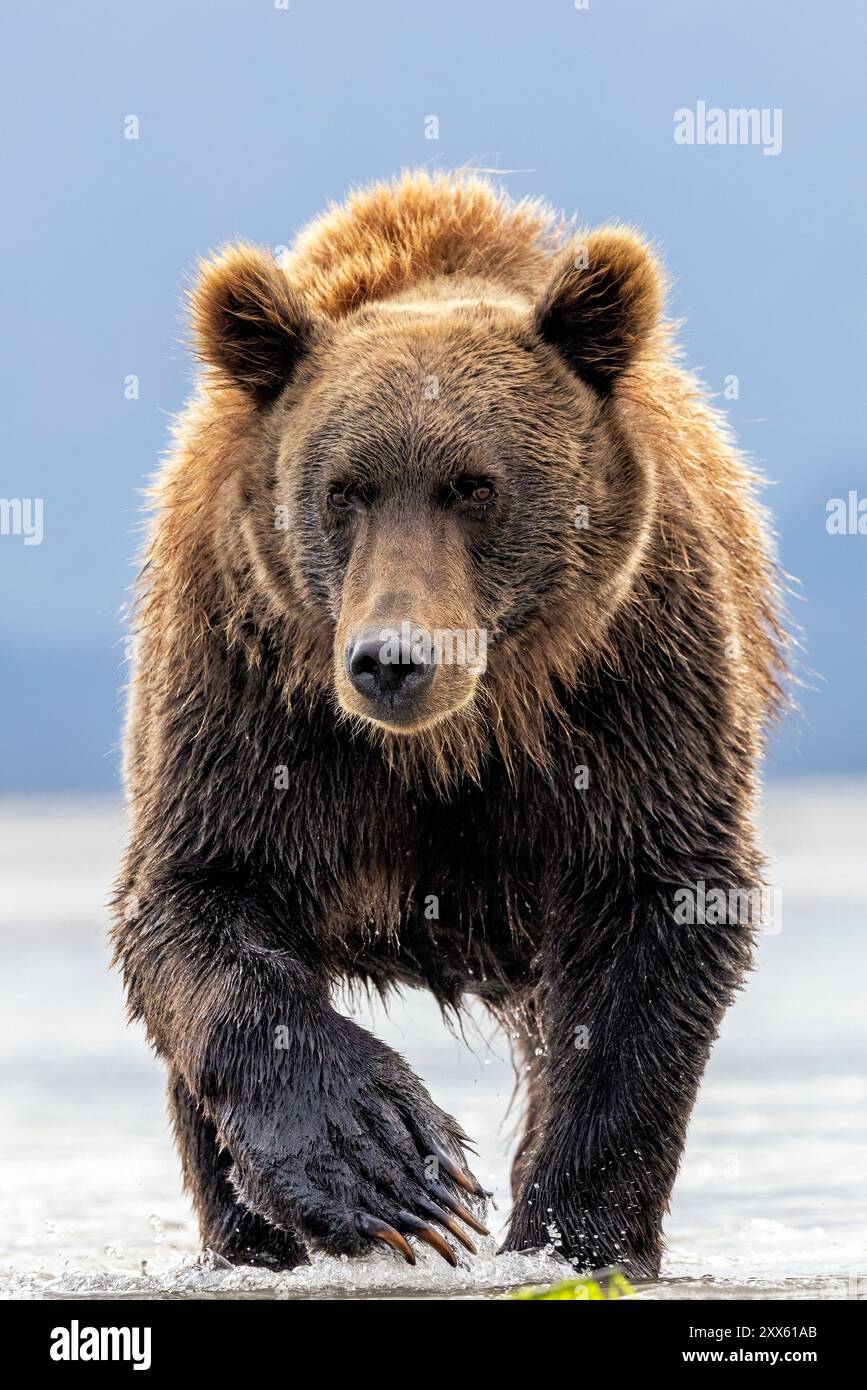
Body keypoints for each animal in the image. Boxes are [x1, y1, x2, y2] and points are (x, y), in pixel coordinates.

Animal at [111, 170, 787, 1279]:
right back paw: (250, 1240)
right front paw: (389, 1169)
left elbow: (655, 916)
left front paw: (574, 1233)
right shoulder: (249, 692)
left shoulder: (632, 680)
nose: (394, 658)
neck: (457, 740)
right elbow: (200, 899)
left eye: (474, 485)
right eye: (343, 490)